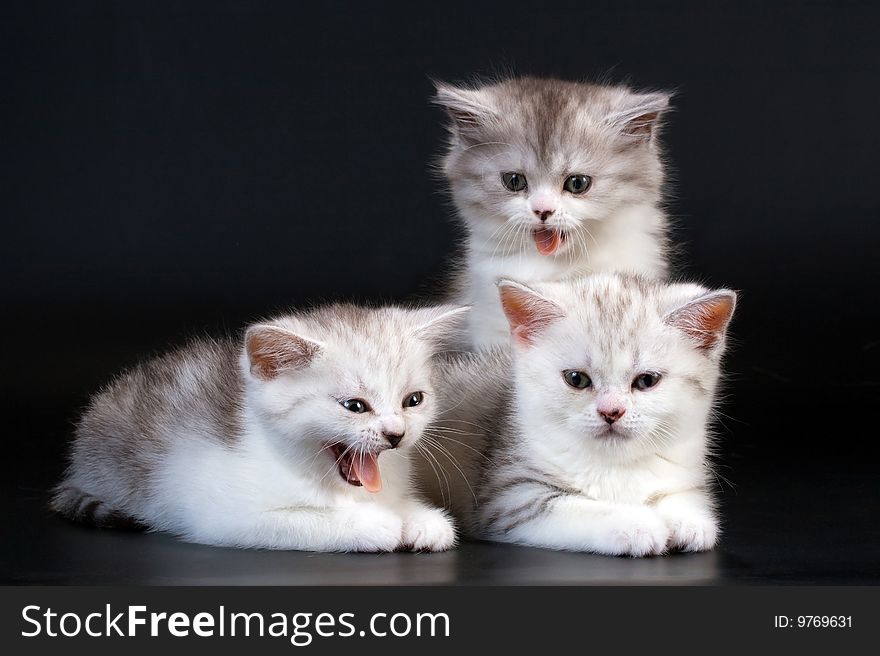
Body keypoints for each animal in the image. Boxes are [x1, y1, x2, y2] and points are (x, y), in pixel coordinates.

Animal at [50, 304, 468, 552]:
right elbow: (305, 522)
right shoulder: (219, 514)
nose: (396, 434)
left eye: (413, 400)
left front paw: (421, 519)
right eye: (354, 406)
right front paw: (377, 524)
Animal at [420, 274, 736, 556]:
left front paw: (688, 521)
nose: (611, 411)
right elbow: (579, 508)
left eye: (647, 381)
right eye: (576, 379)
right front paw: (637, 524)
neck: (615, 466)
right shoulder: (510, 496)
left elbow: (684, 495)